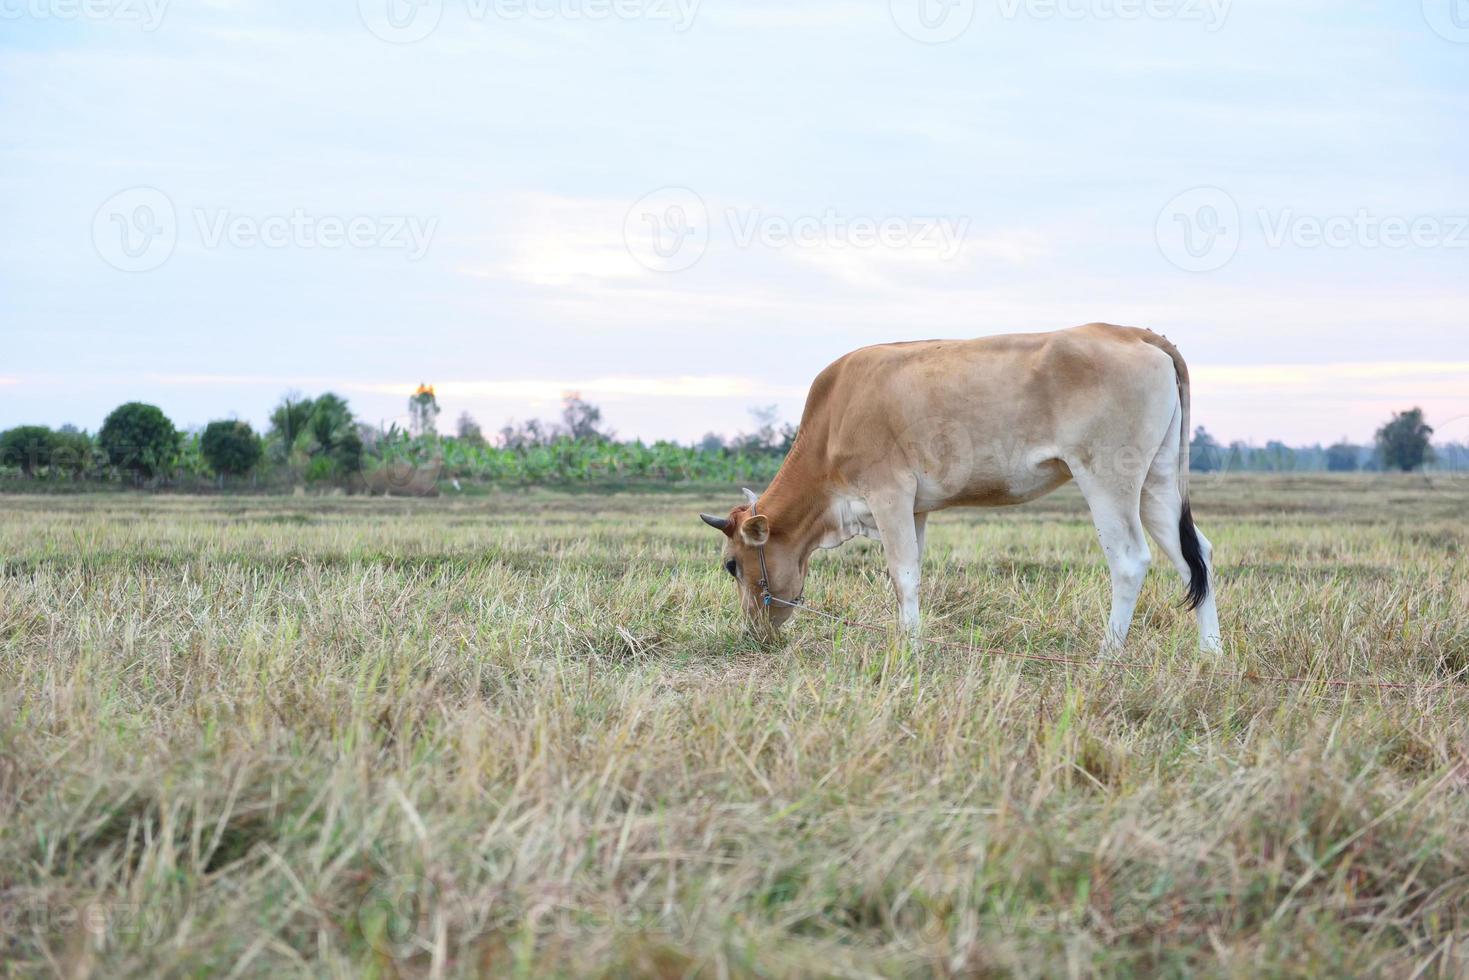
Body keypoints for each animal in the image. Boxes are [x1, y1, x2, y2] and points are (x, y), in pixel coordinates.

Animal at [693, 326, 1222, 655]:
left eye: (731, 565)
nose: (751, 632)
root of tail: (1131, 331)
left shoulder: (889, 493)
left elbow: (902, 574)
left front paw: (911, 651)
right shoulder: (916, 509)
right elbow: (910, 574)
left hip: (1108, 476)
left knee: (1130, 560)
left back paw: (1106, 657)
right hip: (1156, 481)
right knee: (1194, 555)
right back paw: (1210, 653)